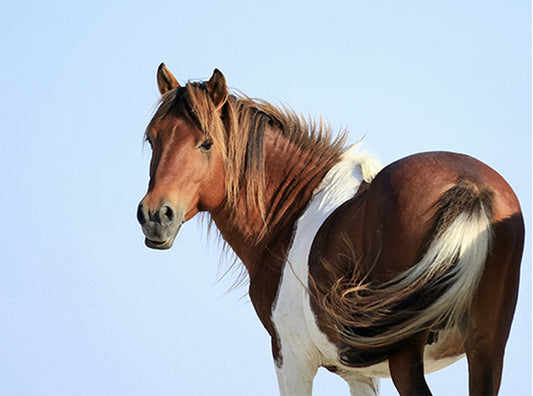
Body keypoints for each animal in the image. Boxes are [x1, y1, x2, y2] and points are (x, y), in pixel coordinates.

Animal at [136, 63, 524, 394]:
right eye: (152, 139)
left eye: (206, 143)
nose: (156, 215)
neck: (291, 215)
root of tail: (470, 187)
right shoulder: (360, 375)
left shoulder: (291, 357)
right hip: (486, 350)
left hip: (405, 357)